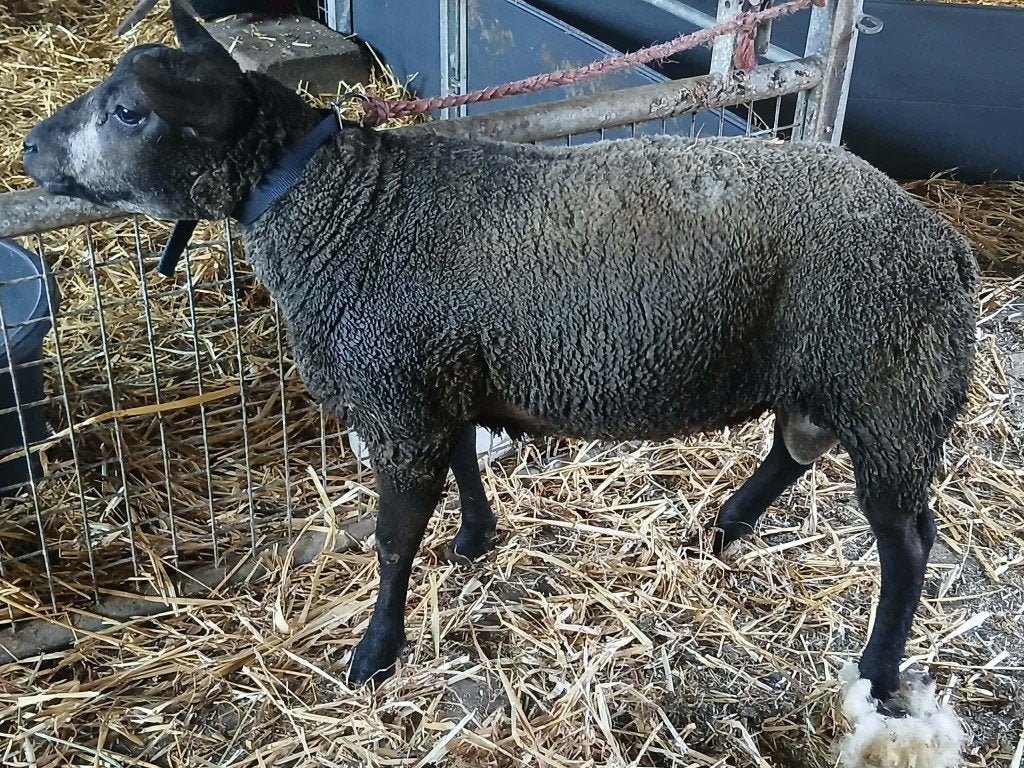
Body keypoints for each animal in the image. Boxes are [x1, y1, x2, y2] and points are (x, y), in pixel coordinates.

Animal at [23, 1, 977, 726]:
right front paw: (475, 540)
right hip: (836, 377)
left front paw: (375, 654)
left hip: (890, 388)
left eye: (130, 111)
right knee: (793, 449)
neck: (336, 206)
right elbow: (462, 461)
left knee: (907, 543)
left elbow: (393, 540)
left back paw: (878, 672)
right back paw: (724, 527)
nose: (29, 149)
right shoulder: (434, 376)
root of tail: (945, 243)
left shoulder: (397, 392)